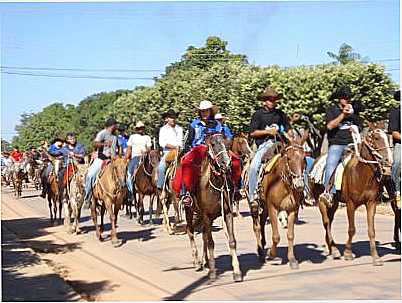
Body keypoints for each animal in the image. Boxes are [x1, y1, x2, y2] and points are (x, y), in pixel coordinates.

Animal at [185, 134, 242, 284]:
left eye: (227, 144)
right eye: (213, 145)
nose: (226, 164)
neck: (216, 185)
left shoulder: (227, 213)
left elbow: (232, 241)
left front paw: (237, 272)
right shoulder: (206, 215)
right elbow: (211, 242)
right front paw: (212, 273)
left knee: (204, 234)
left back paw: (205, 261)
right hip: (189, 211)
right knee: (190, 231)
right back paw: (197, 263)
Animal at [253, 137, 306, 270]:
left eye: (304, 158)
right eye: (289, 158)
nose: (299, 185)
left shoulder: (292, 209)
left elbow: (290, 235)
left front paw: (292, 259)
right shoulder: (272, 207)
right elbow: (276, 236)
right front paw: (271, 254)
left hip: (265, 207)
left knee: (262, 223)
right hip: (256, 205)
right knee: (257, 226)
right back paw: (260, 252)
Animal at [312, 124, 394, 264]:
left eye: (388, 138)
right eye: (376, 138)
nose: (388, 163)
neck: (362, 174)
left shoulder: (371, 203)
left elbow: (372, 230)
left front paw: (376, 257)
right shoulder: (351, 204)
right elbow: (352, 229)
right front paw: (348, 253)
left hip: (334, 203)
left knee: (330, 221)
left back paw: (331, 247)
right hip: (320, 201)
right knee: (326, 222)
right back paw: (334, 250)